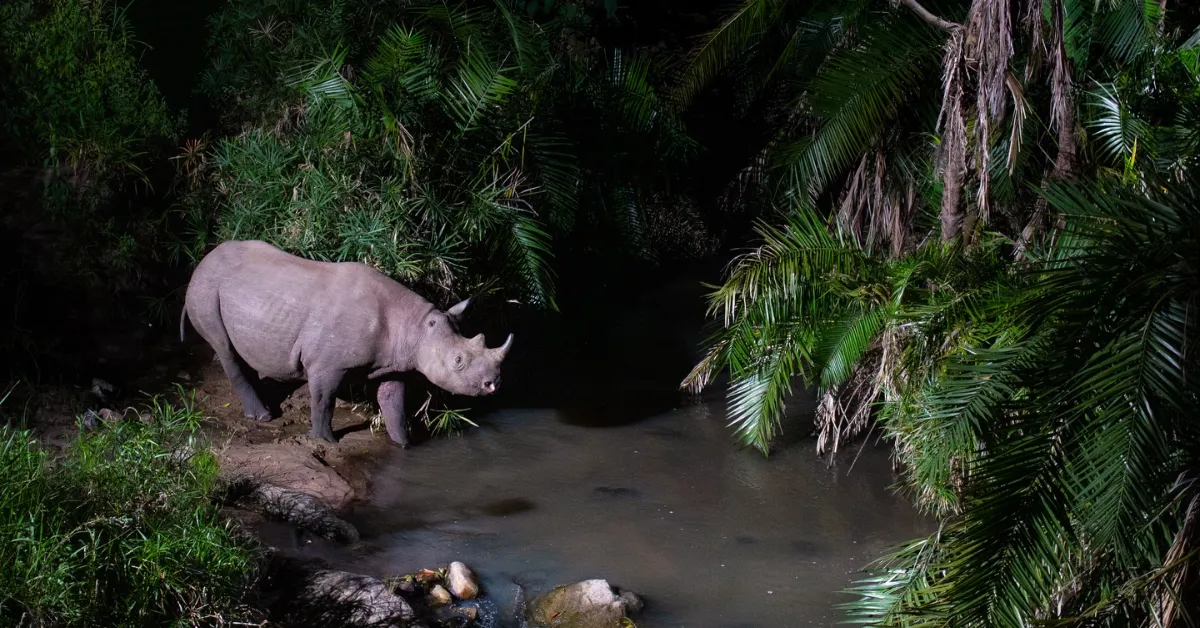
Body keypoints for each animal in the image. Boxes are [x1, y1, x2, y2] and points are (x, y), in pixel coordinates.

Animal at [180, 240, 512, 447]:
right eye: (458, 361)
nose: (493, 384)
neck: (415, 327)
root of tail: (201, 262)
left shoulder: (394, 362)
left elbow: (393, 402)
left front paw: (404, 444)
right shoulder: (325, 364)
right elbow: (323, 400)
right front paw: (325, 440)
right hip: (205, 289)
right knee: (225, 349)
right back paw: (263, 417)